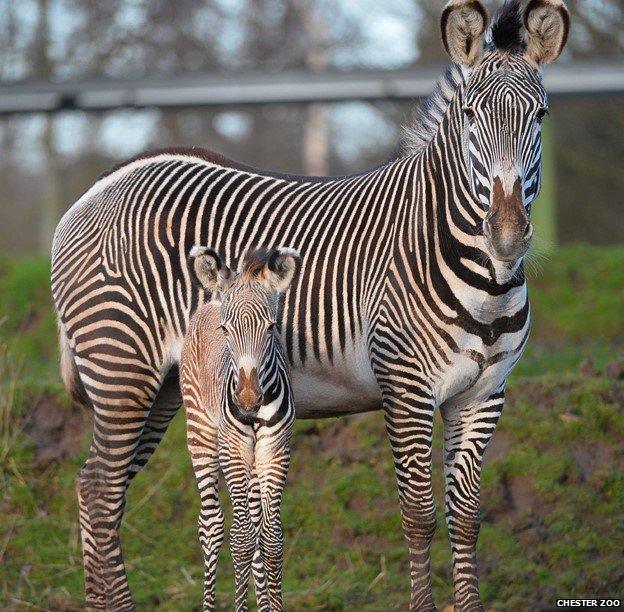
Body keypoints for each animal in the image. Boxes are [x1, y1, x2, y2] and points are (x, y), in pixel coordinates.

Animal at [180, 246, 300, 608]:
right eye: (226, 329)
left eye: (271, 327)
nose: (247, 399)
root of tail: (211, 301)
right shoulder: (231, 451)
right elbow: (242, 539)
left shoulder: (275, 450)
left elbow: (269, 538)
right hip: (201, 433)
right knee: (211, 526)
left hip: (254, 459)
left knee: (255, 523)